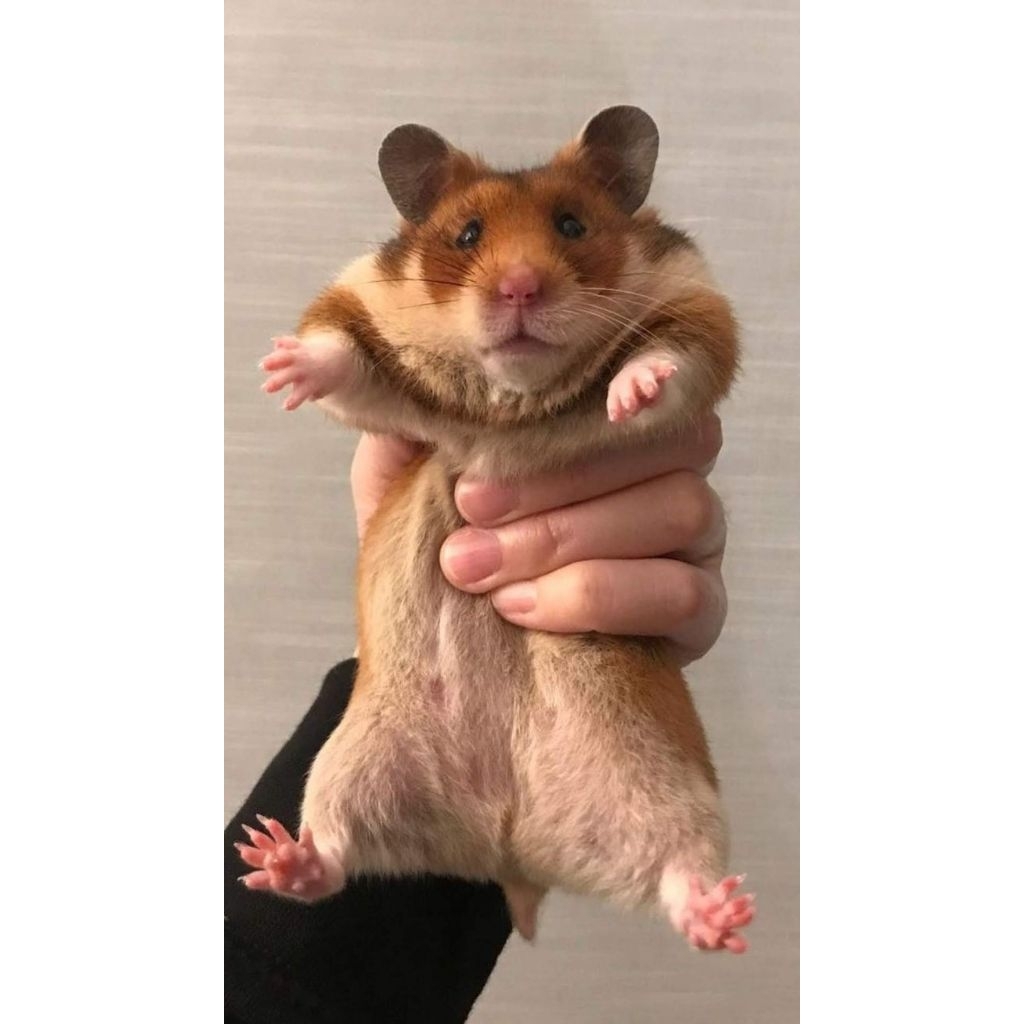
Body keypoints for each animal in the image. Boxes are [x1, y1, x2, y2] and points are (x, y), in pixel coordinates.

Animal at [236, 106, 754, 953]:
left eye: (572, 225)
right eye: (468, 234)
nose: (519, 287)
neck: (507, 405)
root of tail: (508, 844)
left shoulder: (699, 307)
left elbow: (669, 357)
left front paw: (629, 392)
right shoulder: (364, 311)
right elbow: (339, 355)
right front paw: (282, 370)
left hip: (673, 792)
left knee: (679, 877)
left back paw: (723, 916)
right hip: (348, 768)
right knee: (334, 858)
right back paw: (273, 856)